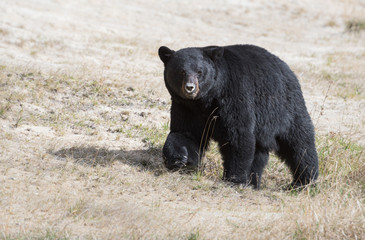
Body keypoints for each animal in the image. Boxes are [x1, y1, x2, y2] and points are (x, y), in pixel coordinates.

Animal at [158, 44, 318, 188]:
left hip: (285, 109)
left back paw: (304, 182)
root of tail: (289, 71)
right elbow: (185, 133)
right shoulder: (186, 107)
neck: (207, 100)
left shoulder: (235, 95)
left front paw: (234, 179)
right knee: (259, 153)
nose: (190, 88)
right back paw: (253, 182)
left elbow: (238, 135)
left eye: (199, 72)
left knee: (300, 144)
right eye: (181, 72)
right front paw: (180, 159)